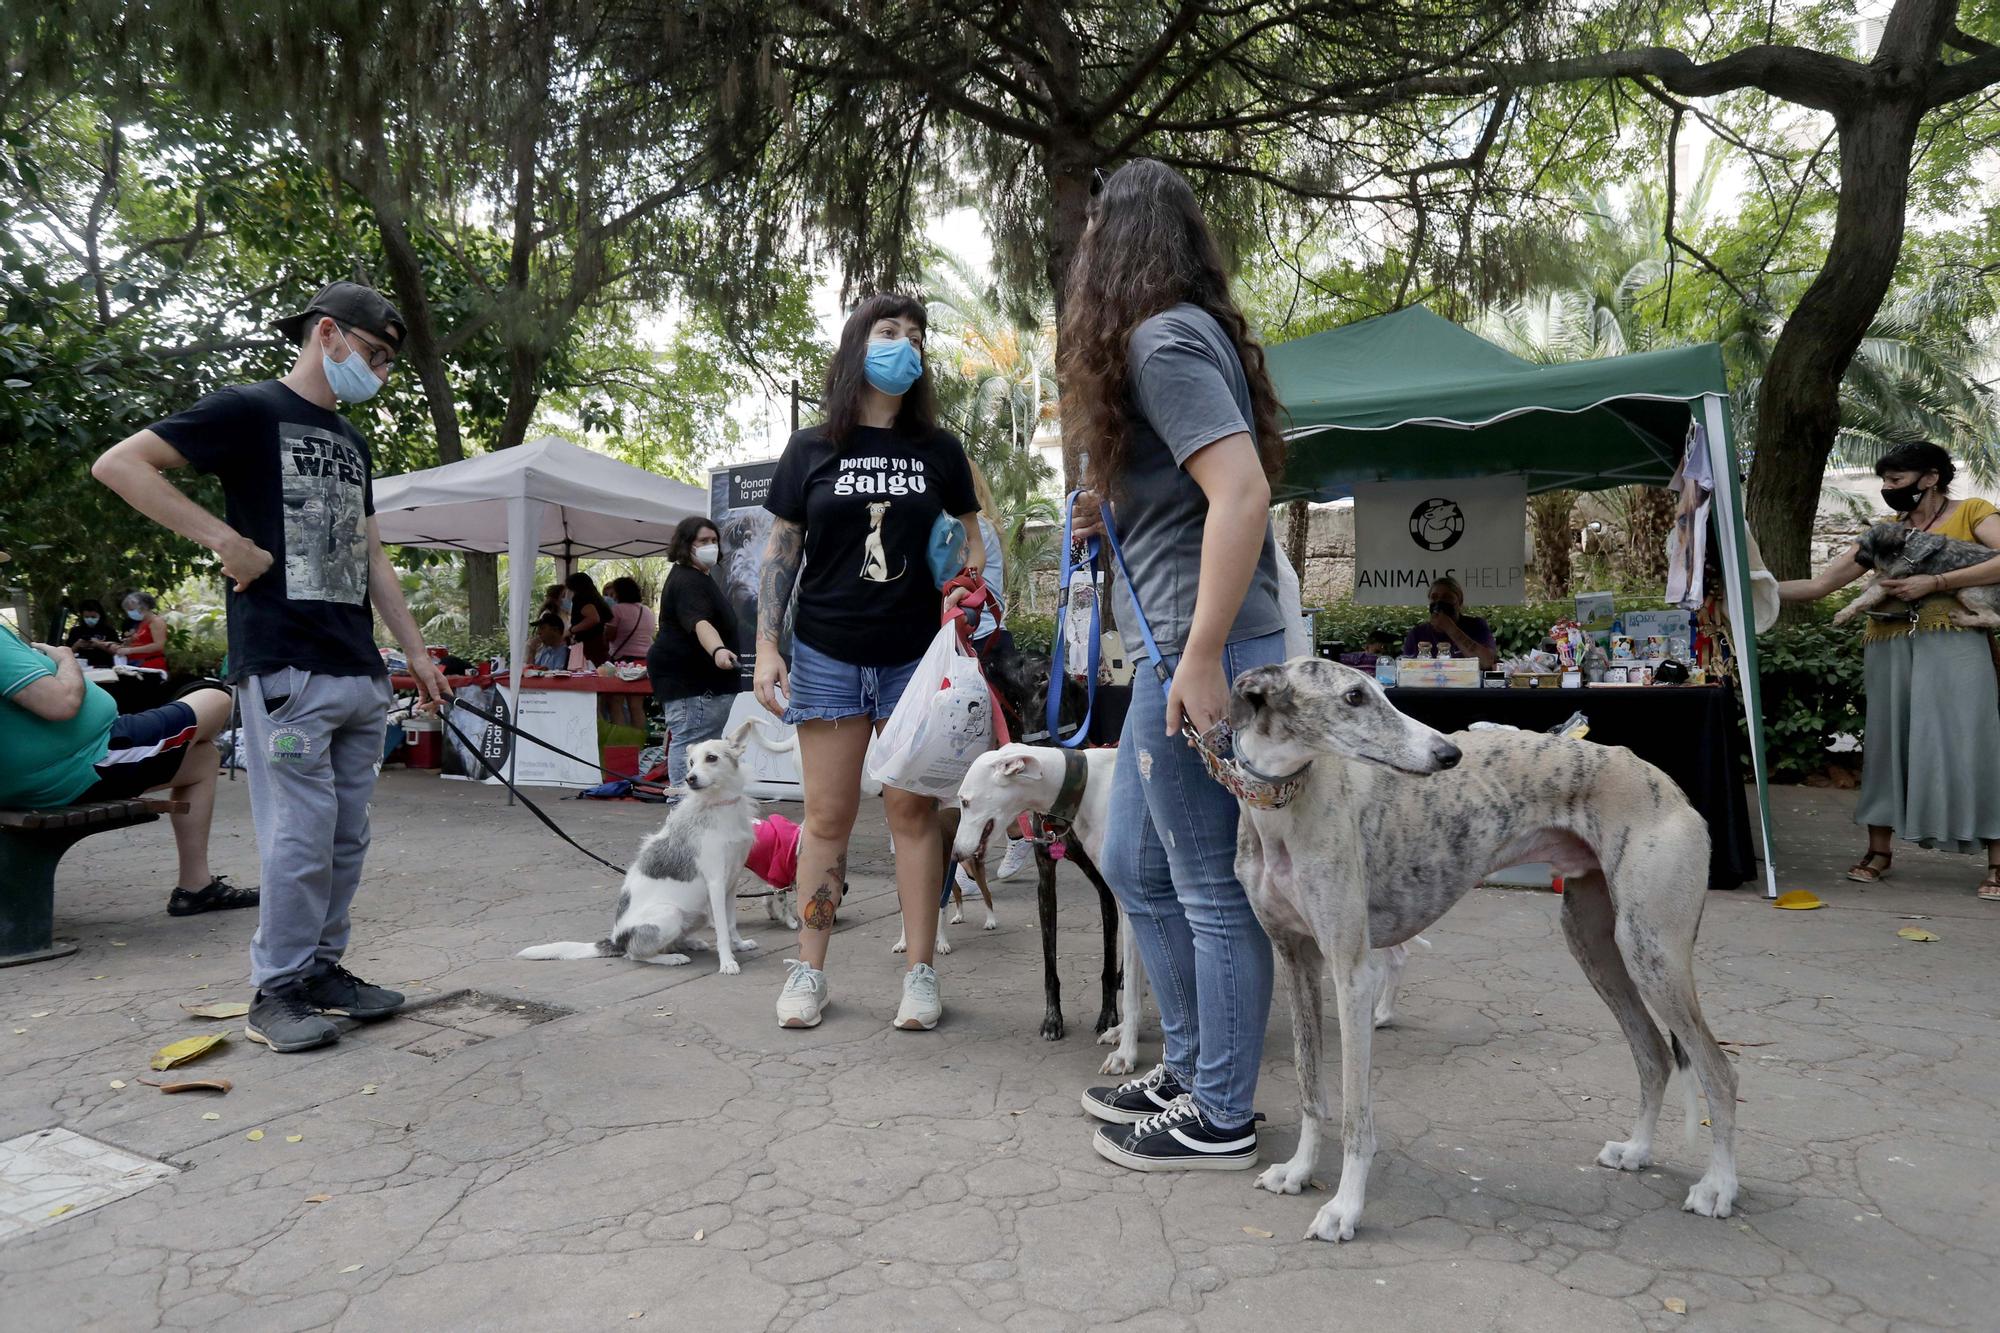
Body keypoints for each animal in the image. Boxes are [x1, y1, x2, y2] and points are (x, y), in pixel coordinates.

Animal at [516, 720, 772, 972]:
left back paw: (689, 943)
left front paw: (739, 945)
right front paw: (727, 962)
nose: (689, 778)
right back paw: (671, 958)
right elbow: (721, 931)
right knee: (635, 955)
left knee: (668, 942)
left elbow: (730, 924)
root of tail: (616, 940)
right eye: (691, 762)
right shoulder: (716, 883)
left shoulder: (731, 884)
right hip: (670, 913)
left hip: (698, 913)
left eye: (711, 758)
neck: (719, 805)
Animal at [1832, 516, 1992, 624]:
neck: (1903, 547)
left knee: (1992, 618)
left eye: (1863, 547)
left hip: (1968, 592)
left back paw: (1962, 619)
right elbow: (1875, 579)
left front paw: (1844, 614)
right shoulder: (1891, 573)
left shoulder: (1890, 582)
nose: (1856, 559)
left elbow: (1866, 597)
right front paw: (1865, 585)